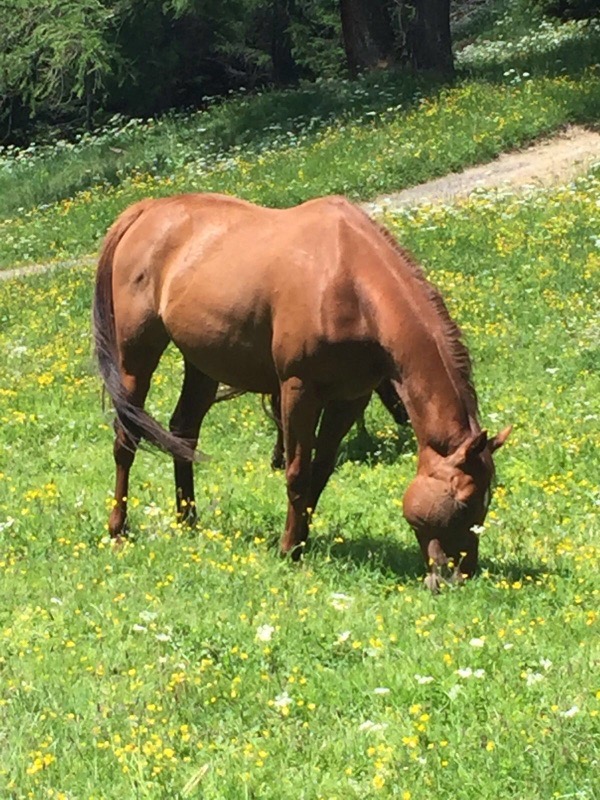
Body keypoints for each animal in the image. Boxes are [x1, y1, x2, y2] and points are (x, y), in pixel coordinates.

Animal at [93, 192, 511, 588]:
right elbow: (297, 473)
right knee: (126, 438)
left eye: (486, 501)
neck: (349, 284)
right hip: (136, 357)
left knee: (184, 432)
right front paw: (288, 550)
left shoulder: (350, 398)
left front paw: (302, 542)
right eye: (464, 502)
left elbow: (320, 470)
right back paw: (118, 528)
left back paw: (188, 520)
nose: (461, 575)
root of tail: (147, 210)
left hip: (203, 362)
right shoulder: (298, 390)